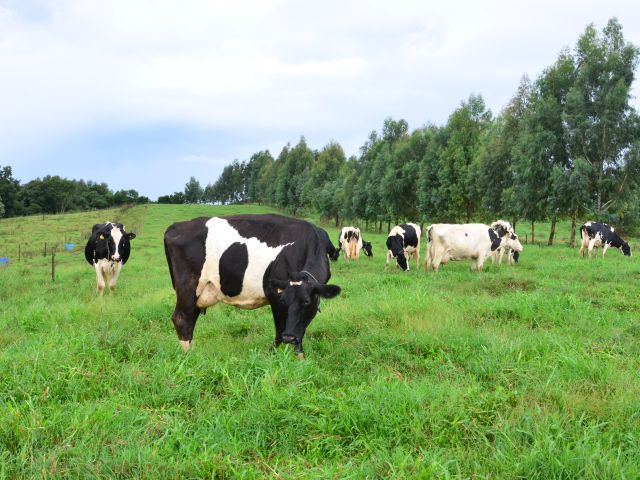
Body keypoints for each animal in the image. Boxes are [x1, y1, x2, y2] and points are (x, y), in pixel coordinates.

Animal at [164, 216, 340, 358]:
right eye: (284, 301)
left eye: (306, 302)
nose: (289, 337)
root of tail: (177, 225)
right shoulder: (274, 295)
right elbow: (279, 331)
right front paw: (271, 355)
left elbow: (300, 331)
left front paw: (300, 360)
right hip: (188, 287)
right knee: (182, 319)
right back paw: (189, 356)